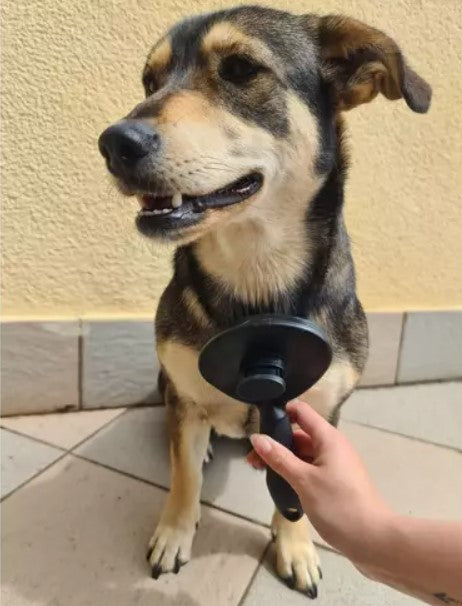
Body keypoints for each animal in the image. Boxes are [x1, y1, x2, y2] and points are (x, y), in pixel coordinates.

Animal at [97, 4, 430, 600]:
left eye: (240, 69)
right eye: (150, 82)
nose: (114, 143)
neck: (256, 275)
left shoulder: (317, 407)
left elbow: (295, 493)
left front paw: (295, 548)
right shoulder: (184, 391)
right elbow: (184, 475)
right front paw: (175, 533)